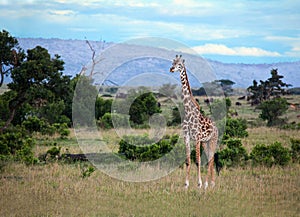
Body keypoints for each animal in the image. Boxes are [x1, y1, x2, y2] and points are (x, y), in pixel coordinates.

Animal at [169, 55, 218, 189]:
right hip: (206, 142)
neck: (188, 111)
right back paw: (210, 183)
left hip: (213, 140)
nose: (171, 69)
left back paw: (208, 183)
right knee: (210, 158)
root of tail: (216, 127)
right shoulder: (186, 136)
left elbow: (197, 160)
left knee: (211, 158)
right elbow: (188, 161)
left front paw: (199, 183)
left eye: (179, 64)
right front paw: (186, 184)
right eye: (173, 62)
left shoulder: (197, 138)